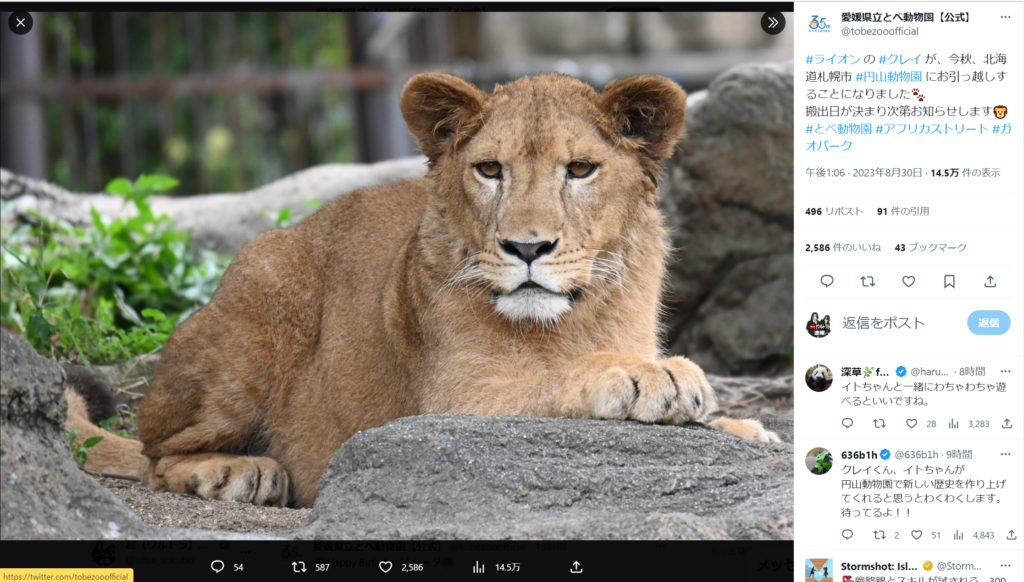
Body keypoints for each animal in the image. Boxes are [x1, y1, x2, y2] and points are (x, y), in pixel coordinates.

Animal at [74, 73, 774, 508]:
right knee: (155, 450)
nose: (526, 248)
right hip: (250, 322)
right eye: (489, 169)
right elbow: (553, 377)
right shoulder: (451, 397)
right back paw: (240, 471)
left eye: (580, 169)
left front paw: (743, 426)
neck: (570, 318)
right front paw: (649, 375)